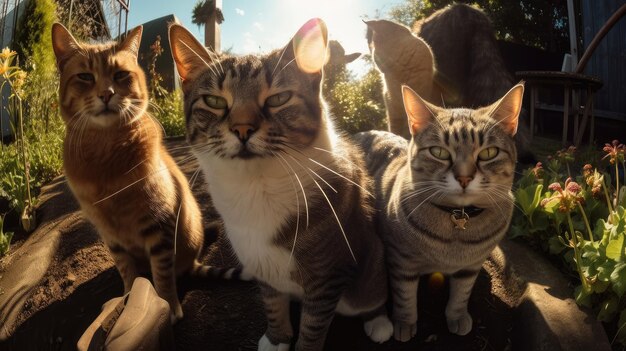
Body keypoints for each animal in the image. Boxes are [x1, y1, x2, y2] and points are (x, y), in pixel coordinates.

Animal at [51, 22, 227, 324]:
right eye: (85, 76)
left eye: (121, 74)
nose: (106, 94)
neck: (107, 154)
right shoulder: (111, 237)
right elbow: (127, 272)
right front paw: (127, 301)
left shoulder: (159, 225)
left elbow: (163, 275)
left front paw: (168, 306)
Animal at [168, 19, 392, 351]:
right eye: (214, 101)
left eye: (278, 98)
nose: (242, 128)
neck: (256, 186)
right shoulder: (260, 265)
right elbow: (273, 304)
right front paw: (276, 339)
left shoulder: (327, 276)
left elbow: (312, 329)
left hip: (369, 267)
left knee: (373, 294)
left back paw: (379, 321)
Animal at [352, 82, 520, 340]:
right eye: (439, 152)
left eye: (488, 153)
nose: (464, 178)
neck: (458, 219)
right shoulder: (401, 260)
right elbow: (405, 296)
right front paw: (404, 323)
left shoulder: (471, 265)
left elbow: (461, 295)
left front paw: (457, 317)